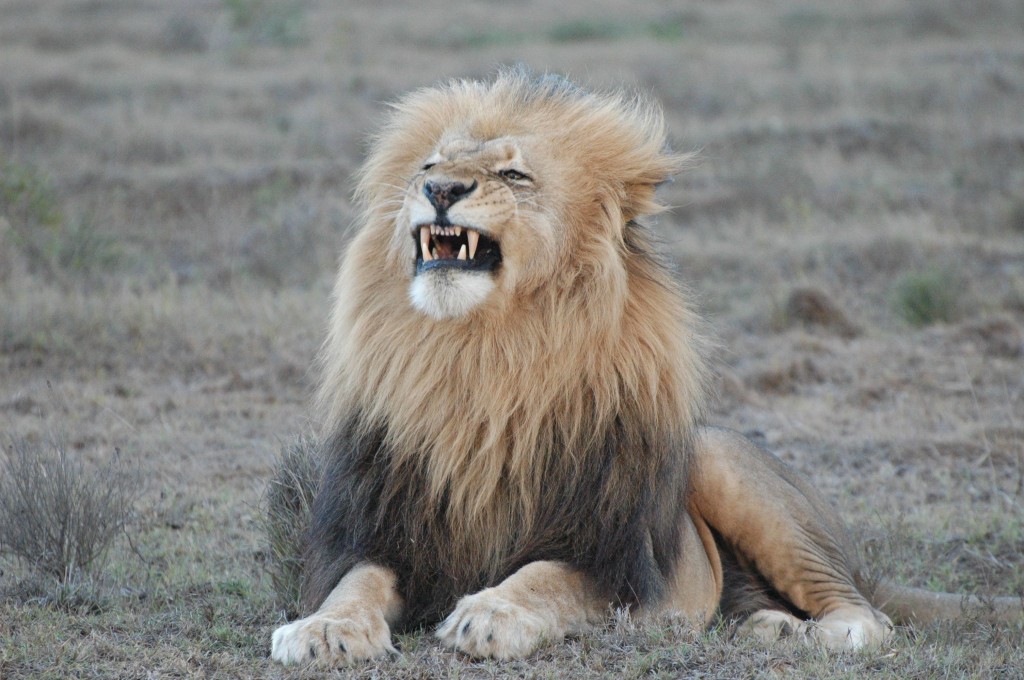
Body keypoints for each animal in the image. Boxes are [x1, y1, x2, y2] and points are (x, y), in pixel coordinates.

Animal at [270, 69, 1022, 666]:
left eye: (513, 174)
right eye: (427, 167)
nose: (443, 190)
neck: (485, 357)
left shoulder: (613, 554)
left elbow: (544, 576)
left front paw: (488, 614)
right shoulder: (377, 529)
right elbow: (355, 585)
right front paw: (321, 631)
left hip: (724, 466)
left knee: (869, 614)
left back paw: (825, 635)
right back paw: (767, 629)